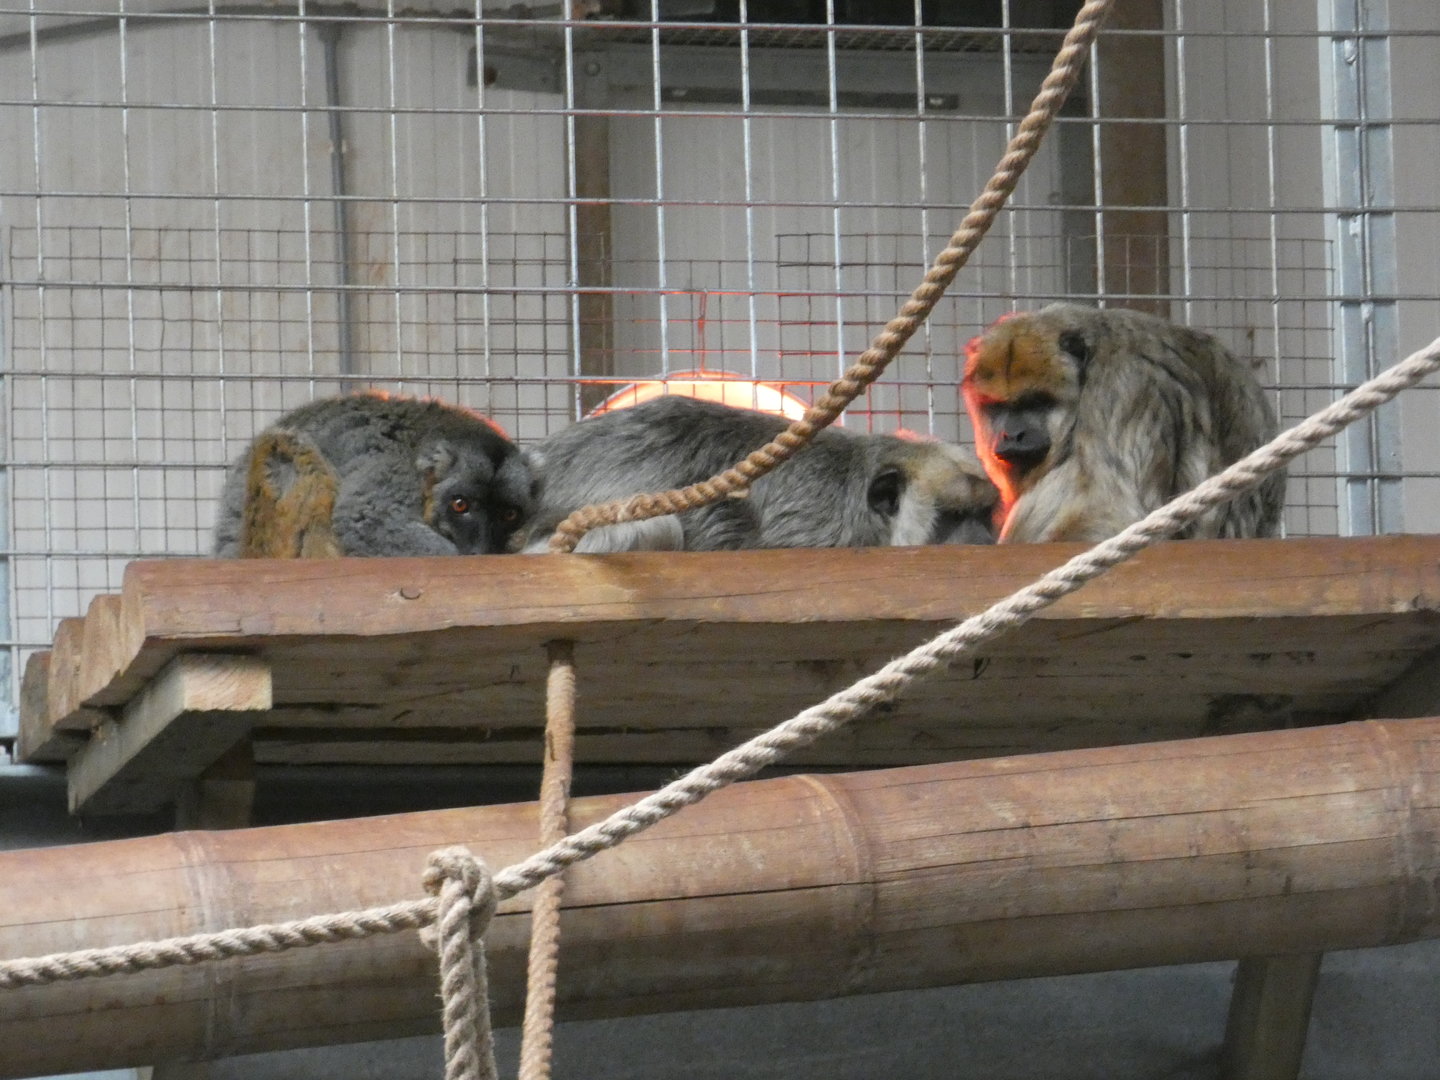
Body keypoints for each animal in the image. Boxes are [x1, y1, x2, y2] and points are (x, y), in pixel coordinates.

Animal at [212, 392, 539, 557]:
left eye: (509, 515)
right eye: (460, 505)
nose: (481, 550)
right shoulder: (395, 470)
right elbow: (368, 522)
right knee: (288, 450)